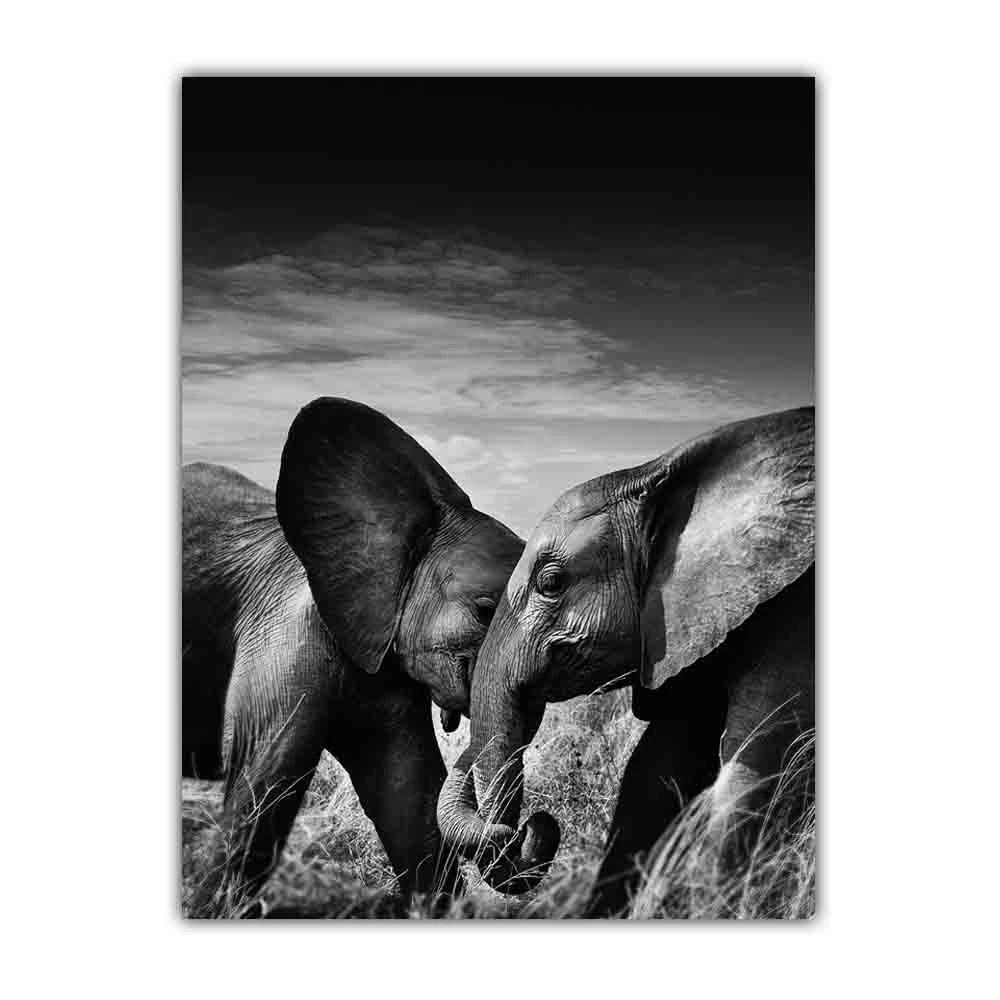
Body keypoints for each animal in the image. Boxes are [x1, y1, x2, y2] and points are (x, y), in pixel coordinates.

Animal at [436, 406, 815, 915]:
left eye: (551, 583)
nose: (531, 827)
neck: (657, 472)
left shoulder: (791, 610)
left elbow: (761, 761)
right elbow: (658, 763)